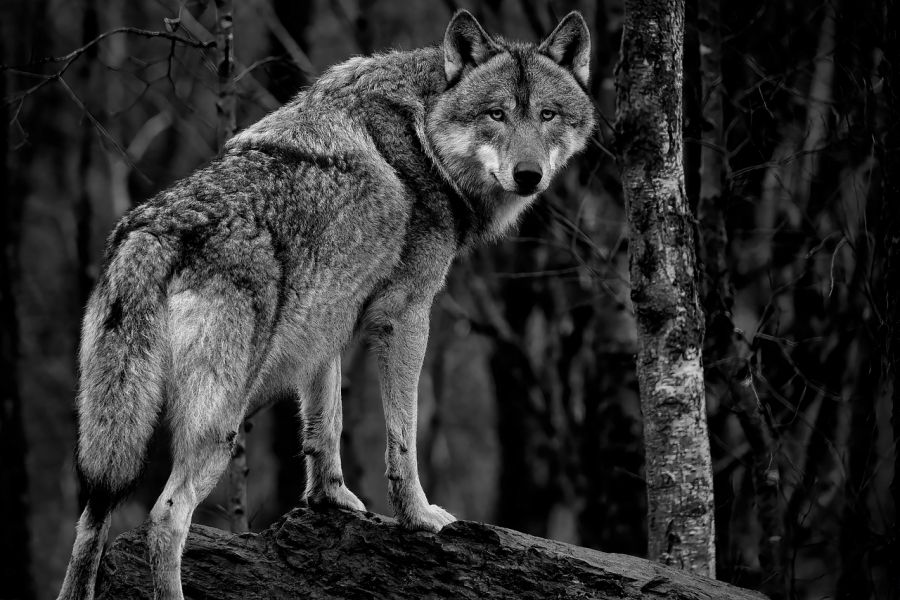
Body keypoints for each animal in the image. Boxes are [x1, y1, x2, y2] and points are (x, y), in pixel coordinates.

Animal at [58, 9, 594, 600]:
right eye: (496, 114)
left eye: (546, 115)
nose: (529, 176)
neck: (423, 131)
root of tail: (151, 234)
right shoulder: (406, 316)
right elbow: (401, 441)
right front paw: (419, 518)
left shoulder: (327, 320)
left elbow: (324, 425)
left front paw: (329, 500)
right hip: (219, 426)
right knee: (165, 517)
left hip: (114, 436)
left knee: (91, 520)